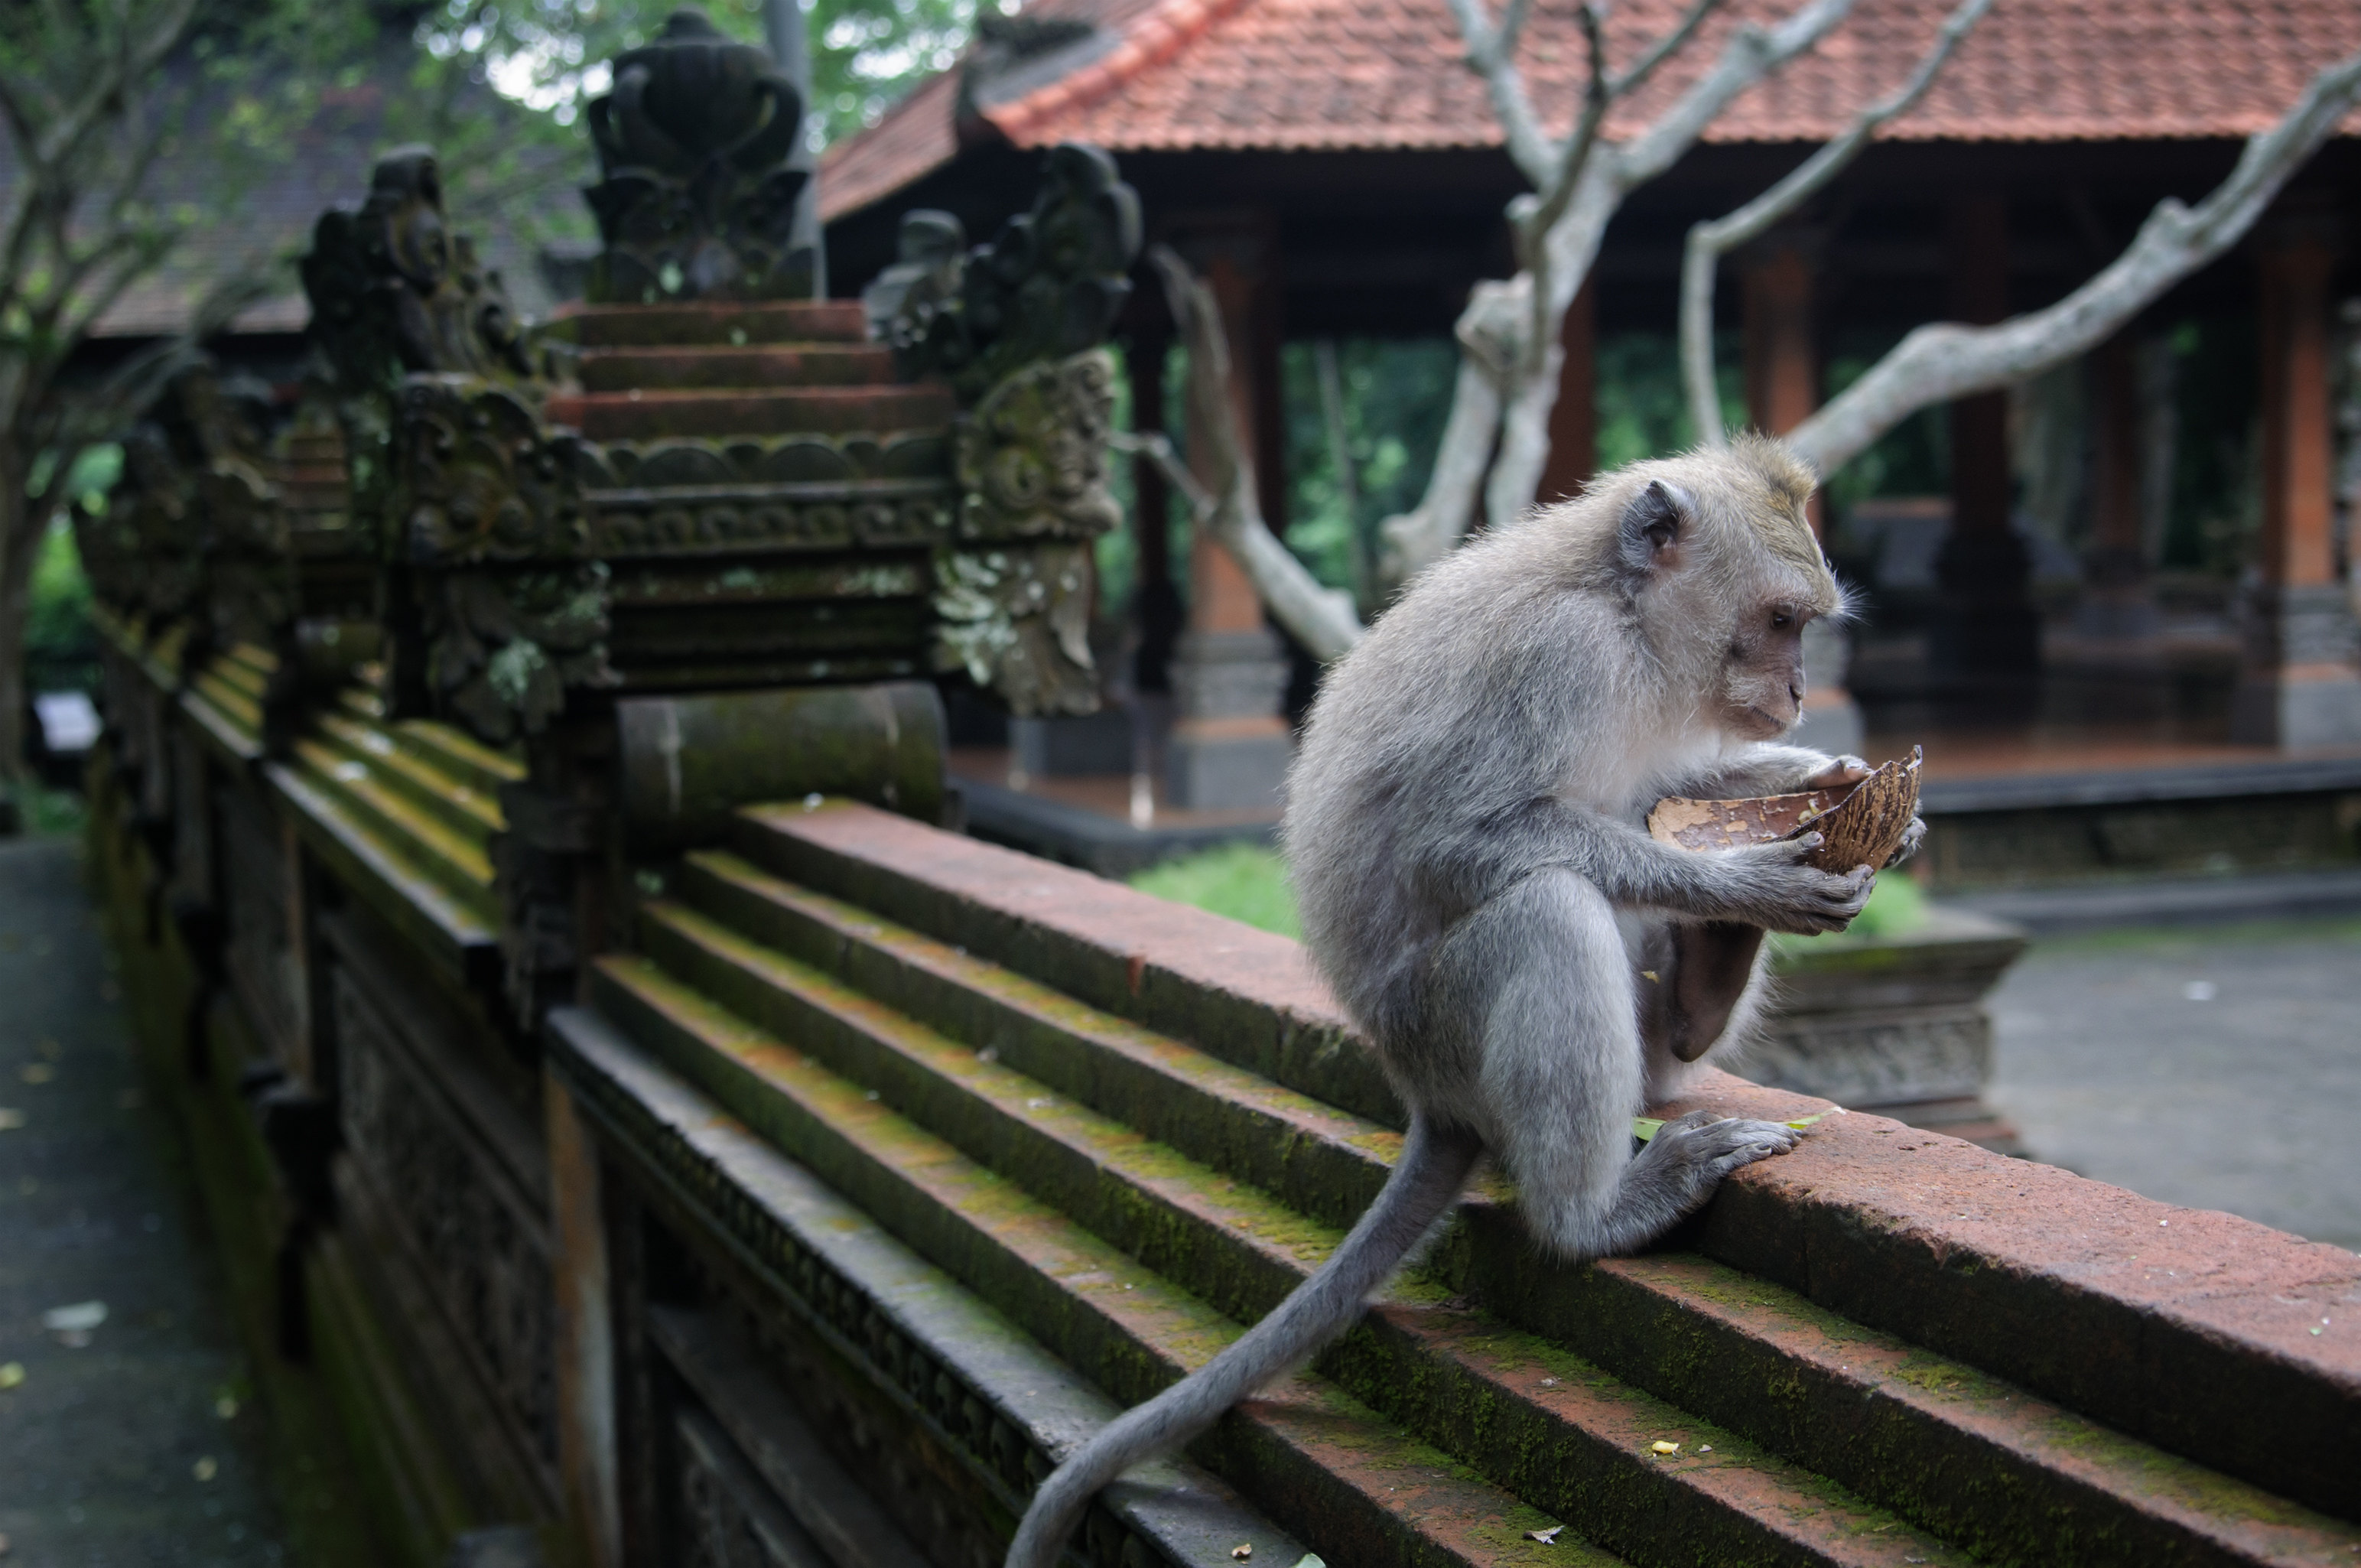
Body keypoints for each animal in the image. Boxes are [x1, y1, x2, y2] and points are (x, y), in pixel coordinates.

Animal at [1007, 436, 1921, 1567]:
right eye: (1783, 620)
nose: (1796, 691)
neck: (1627, 625)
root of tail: (1420, 1092)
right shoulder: (1558, 660)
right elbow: (1464, 840)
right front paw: (1745, 879)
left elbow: (1667, 786)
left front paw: (1831, 785)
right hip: (1437, 1020)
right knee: (1550, 908)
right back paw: (1594, 1213)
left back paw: (1703, 993)